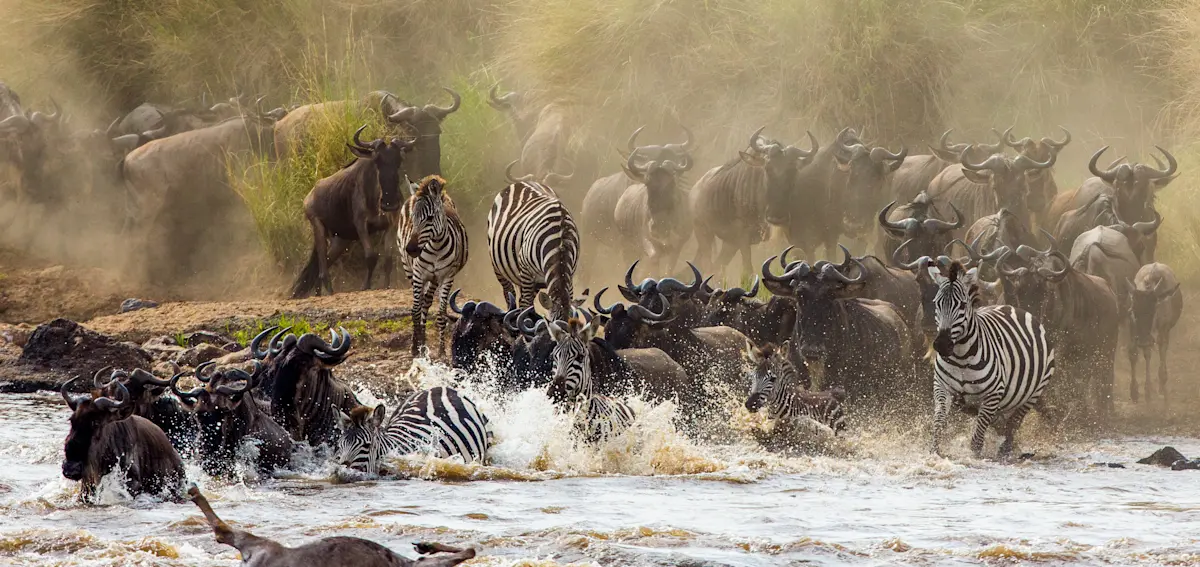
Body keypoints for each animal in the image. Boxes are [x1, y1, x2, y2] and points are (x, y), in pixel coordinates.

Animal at [397, 175, 468, 357]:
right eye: (412, 218)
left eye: (429, 218)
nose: (411, 249)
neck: (435, 246)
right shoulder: (418, 274)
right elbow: (415, 310)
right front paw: (414, 348)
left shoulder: (447, 277)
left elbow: (441, 314)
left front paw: (442, 350)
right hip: (409, 269)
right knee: (420, 304)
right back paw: (419, 344)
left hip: (434, 278)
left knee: (426, 302)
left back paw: (424, 343)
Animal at [487, 178, 580, 322]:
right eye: (552, 323)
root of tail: (523, 182)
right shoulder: (525, 269)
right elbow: (526, 305)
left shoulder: (570, 275)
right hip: (497, 265)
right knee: (509, 292)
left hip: (535, 281)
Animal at [929, 260, 1055, 457]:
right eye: (937, 304)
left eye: (962, 305)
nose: (942, 345)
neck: (961, 358)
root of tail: (1011, 306)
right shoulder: (942, 387)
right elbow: (939, 422)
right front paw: (935, 452)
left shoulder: (993, 394)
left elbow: (978, 436)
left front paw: (974, 457)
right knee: (1000, 423)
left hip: (1033, 393)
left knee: (1013, 423)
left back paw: (1006, 450)